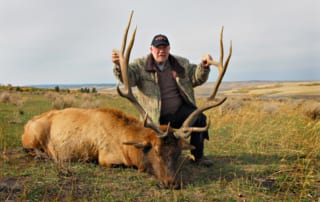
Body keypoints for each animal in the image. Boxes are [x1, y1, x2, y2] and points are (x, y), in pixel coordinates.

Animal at [21, 10, 232, 188]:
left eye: (178, 152)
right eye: (156, 150)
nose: (171, 183)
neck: (126, 143)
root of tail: (25, 127)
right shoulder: (106, 158)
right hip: (33, 136)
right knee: (29, 149)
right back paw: (43, 156)